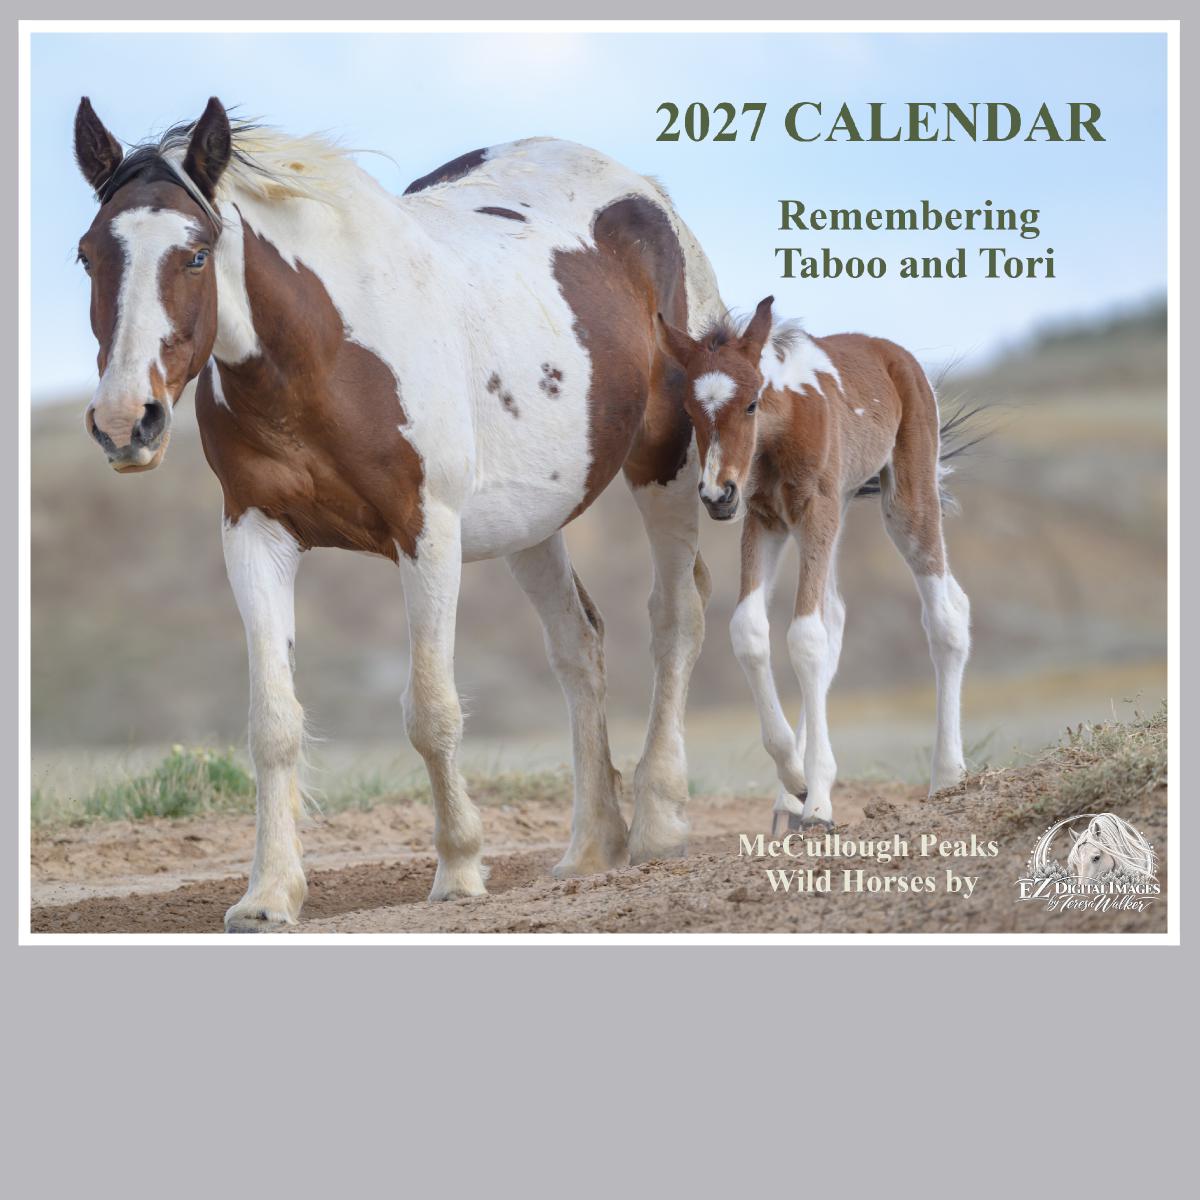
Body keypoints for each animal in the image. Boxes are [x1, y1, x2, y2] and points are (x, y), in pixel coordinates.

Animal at [72, 96, 724, 930]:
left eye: (194, 253)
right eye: (89, 255)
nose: (127, 423)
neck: (324, 354)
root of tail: (642, 192)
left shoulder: (428, 533)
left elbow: (431, 710)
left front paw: (460, 870)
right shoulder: (254, 534)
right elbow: (273, 721)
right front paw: (269, 894)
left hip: (666, 464)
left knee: (676, 619)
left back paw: (660, 824)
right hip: (532, 522)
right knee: (579, 646)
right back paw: (588, 850)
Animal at [655, 296, 973, 832]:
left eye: (751, 403)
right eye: (690, 412)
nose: (717, 495)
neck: (782, 430)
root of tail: (894, 353)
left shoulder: (814, 508)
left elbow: (804, 636)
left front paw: (820, 798)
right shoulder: (765, 518)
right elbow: (750, 629)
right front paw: (796, 778)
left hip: (907, 499)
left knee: (946, 614)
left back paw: (948, 776)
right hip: (835, 510)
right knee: (839, 618)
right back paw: (790, 801)